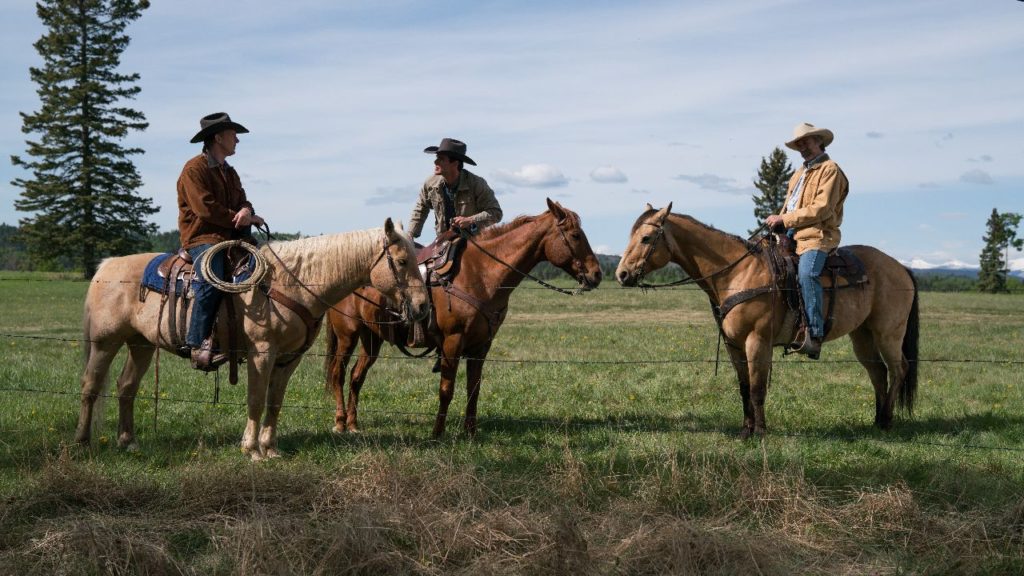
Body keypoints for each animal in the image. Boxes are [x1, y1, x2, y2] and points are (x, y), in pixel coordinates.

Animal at [74, 217, 428, 459]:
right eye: (401, 261)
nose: (423, 306)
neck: (289, 283)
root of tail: (106, 266)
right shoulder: (262, 352)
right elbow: (256, 399)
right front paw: (252, 449)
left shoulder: (288, 358)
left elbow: (275, 401)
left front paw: (271, 448)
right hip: (105, 342)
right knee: (91, 387)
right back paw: (82, 441)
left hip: (141, 344)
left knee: (126, 388)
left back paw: (128, 441)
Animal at [323, 196, 602, 434]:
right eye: (575, 235)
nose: (596, 274)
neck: (480, 274)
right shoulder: (452, 342)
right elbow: (446, 389)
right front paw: (437, 434)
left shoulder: (481, 346)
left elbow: (473, 388)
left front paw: (470, 433)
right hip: (347, 336)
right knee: (338, 373)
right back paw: (340, 422)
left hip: (372, 339)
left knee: (356, 377)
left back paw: (354, 424)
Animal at [614, 203, 921, 436]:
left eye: (645, 238)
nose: (622, 274)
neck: (738, 273)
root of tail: (902, 268)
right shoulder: (734, 345)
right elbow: (744, 388)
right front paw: (745, 430)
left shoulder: (757, 341)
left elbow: (758, 387)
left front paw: (760, 432)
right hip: (862, 335)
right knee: (878, 372)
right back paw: (877, 421)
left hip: (888, 334)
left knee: (898, 369)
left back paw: (888, 420)